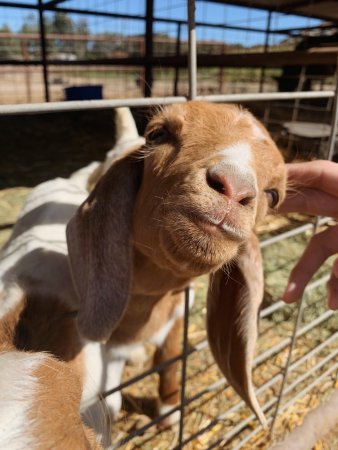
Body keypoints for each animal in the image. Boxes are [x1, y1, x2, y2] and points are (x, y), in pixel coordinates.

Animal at [0, 103, 286, 446]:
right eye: (158, 134)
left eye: (274, 195)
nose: (234, 188)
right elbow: (110, 400)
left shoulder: (180, 307)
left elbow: (170, 358)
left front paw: (169, 410)